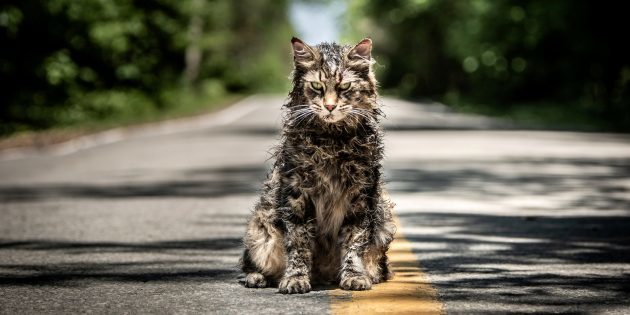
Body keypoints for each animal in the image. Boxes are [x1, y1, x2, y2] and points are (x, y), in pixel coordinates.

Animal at [241, 38, 396, 296]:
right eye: (316, 86)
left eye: (344, 87)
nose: (330, 106)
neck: (331, 141)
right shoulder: (297, 195)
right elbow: (298, 244)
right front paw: (295, 279)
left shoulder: (360, 196)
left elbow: (354, 242)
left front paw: (354, 276)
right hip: (261, 228)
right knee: (250, 263)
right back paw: (256, 277)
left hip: (383, 222)